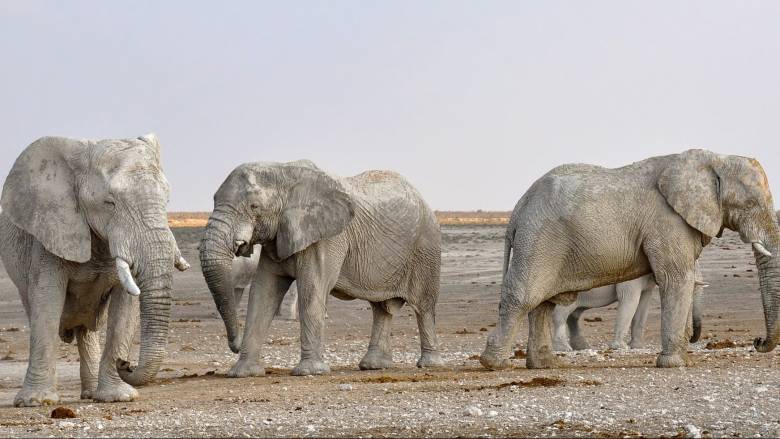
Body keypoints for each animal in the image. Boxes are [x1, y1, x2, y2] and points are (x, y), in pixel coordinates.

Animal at [0, 136, 189, 408]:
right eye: (110, 203)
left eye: (167, 201)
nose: (126, 363)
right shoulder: (50, 232)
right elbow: (47, 302)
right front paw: (35, 401)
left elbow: (124, 309)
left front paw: (118, 397)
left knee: (86, 330)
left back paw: (90, 394)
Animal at [200, 162, 444, 378]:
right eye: (213, 200)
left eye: (254, 207)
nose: (234, 345)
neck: (283, 171)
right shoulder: (278, 237)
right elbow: (263, 293)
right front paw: (243, 373)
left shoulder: (327, 238)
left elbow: (312, 290)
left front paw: (310, 372)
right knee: (381, 309)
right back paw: (373, 366)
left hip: (426, 247)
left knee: (423, 306)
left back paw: (429, 364)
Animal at [552, 270, 708, 352]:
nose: (691, 339)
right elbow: (629, 300)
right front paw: (620, 347)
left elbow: (643, 304)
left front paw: (637, 347)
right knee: (561, 315)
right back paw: (563, 348)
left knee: (574, 316)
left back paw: (582, 347)